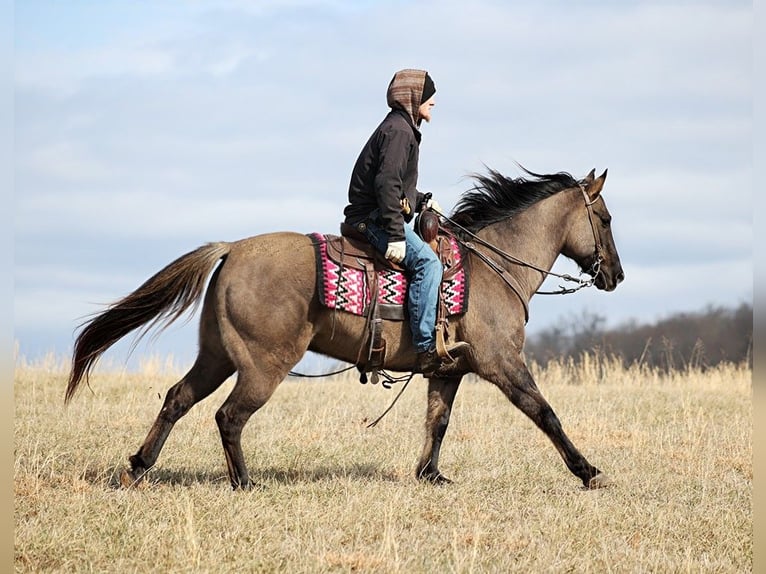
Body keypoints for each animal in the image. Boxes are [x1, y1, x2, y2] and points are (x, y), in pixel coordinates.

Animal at [66, 165, 628, 490]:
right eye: (604, 218)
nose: (616, 276)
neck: (493, 267)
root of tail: (233, 248)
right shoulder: (503, 364)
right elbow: (545, 413)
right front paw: (588, 471)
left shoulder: (448, 371)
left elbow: (438, 422)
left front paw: (431, 475)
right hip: (262, 366)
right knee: (229, 416)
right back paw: (244, 483)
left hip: (217, 357)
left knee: (177, 400)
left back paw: (137, 468)